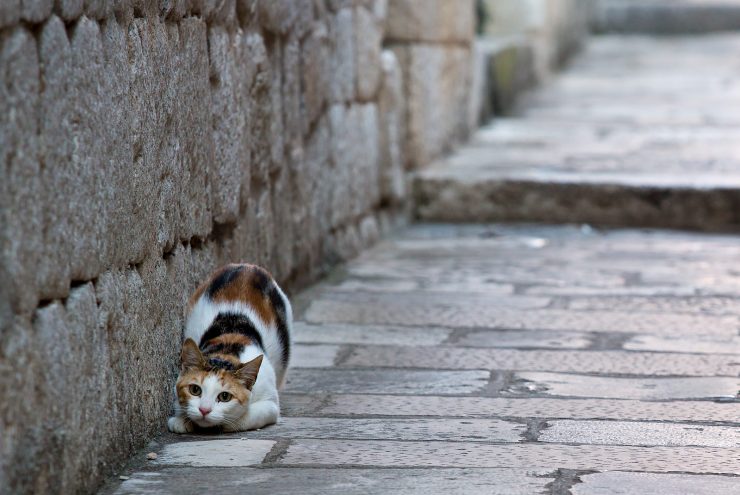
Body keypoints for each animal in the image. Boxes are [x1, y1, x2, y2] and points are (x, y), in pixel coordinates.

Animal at [168, 264, 292, 434]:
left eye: (224, 397)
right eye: (195, 390)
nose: (204, 410)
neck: (226, 353)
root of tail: (247, 267)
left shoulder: (270, 405)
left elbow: (242, 418)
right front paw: (181, 420)